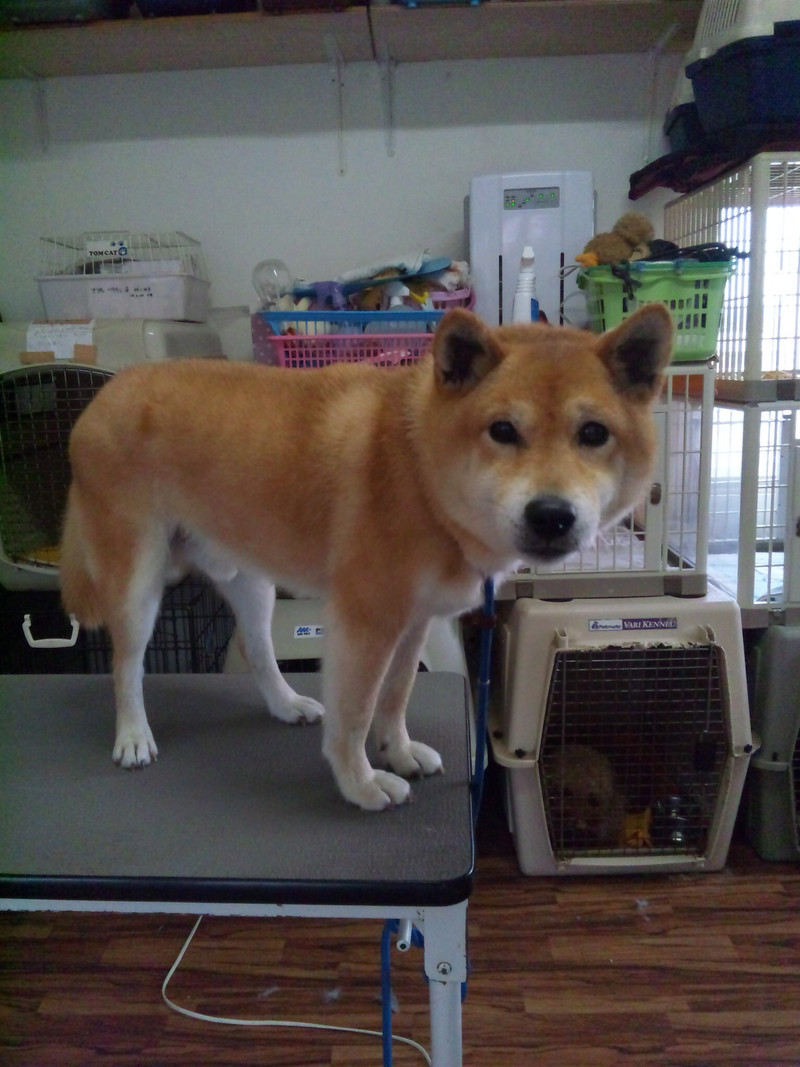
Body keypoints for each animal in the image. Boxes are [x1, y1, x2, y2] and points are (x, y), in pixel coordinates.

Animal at [60, 304, 672, 811]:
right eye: (502, 430)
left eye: (593, 433)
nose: (551, 515)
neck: (420, 474)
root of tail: (104, 393)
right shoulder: (366, 621)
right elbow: (356, 714)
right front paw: (360, 783)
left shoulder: (414, 620)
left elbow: (396, 696)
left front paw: (396, 751)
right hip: (136, 584)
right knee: (126, 665)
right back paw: (133, 736)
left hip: (250, 581)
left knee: (255, 648)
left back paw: (286, 703)